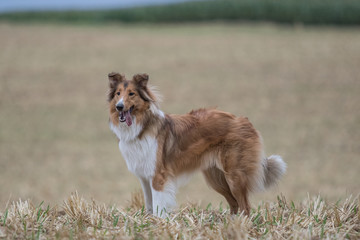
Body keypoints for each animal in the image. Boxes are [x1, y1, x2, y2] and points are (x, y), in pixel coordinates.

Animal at [108, 72, 286, 217]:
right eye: (118, 94)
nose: (119, 106)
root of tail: (244, 120)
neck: (142, 127)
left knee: (245, 206)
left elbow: (158, 207)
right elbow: (149, 205)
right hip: (216, 177)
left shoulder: (158, 177)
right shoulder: (145, 177)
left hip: (234, 176)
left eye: (131, 93)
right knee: (234, 204)